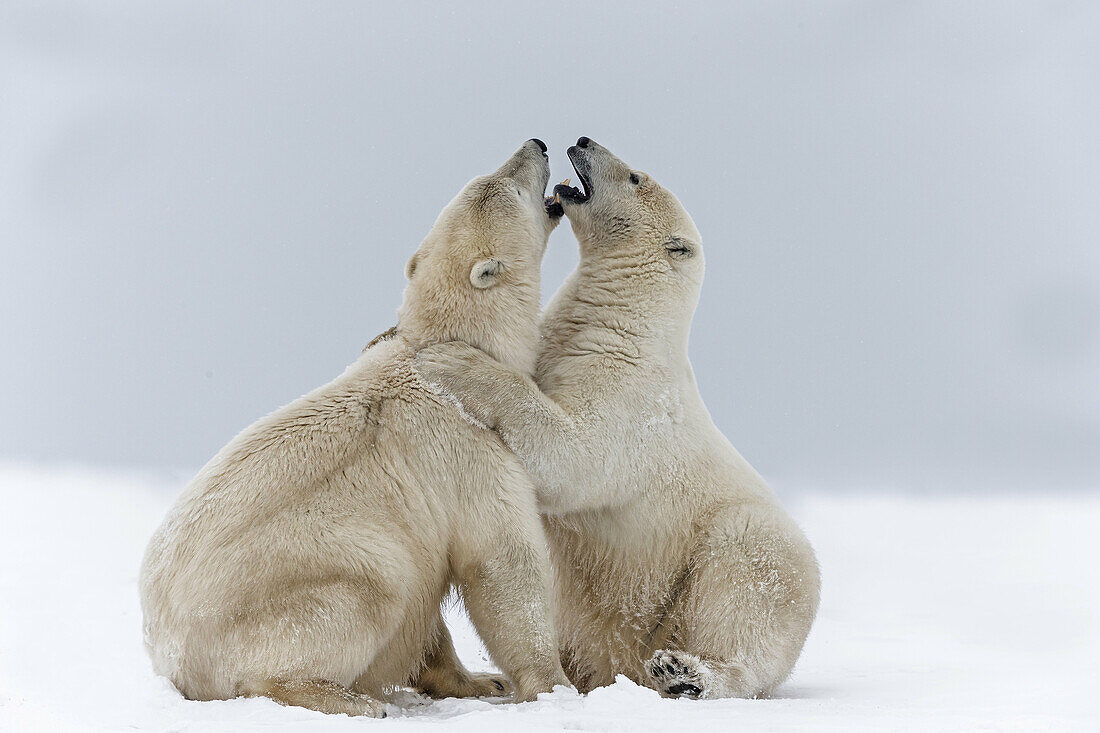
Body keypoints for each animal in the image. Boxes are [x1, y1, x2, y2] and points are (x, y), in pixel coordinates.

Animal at [138, 137, 572, 713]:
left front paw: (482, 681)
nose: (538, 144)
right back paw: (351, 699)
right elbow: (504, 564)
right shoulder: (468, 447)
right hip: (295, 589)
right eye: (508, 184)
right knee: (370, 590)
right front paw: (554, 685)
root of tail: (171, 660)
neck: (448, 343)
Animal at [415, 135, 822, 695]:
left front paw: (452, 360)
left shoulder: (632, 399)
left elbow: (573, 457)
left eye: (634, 177)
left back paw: (688, 673)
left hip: (741, 561)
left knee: (745, 590)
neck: (624, 322)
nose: (582, 140)